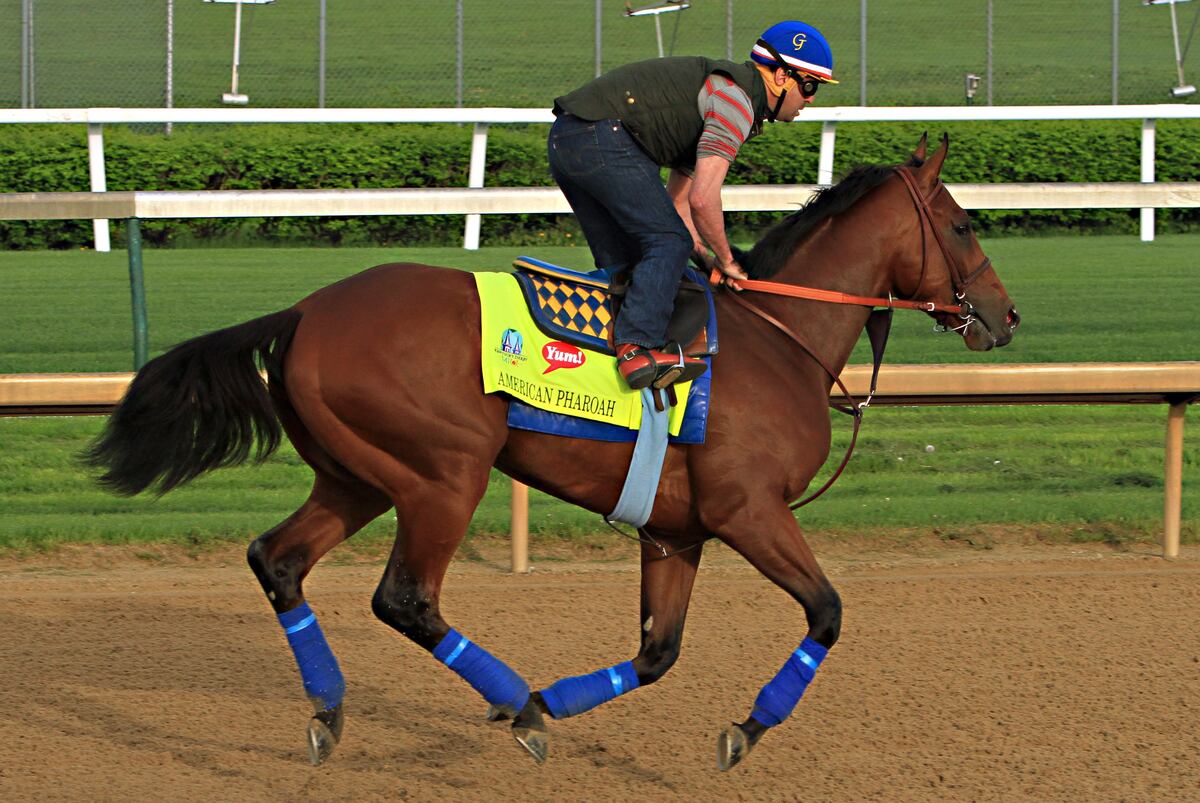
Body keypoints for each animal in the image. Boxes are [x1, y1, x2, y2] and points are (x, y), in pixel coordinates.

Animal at [85, 134, 1019, 772]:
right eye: (962, 224)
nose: (1005, 315)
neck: (778, 335)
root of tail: (306, 310)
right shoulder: (747, 510)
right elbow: (826, 611)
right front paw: (744, 728)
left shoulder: (676, 531)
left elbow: (657, 652)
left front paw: (554, 699)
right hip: (445, 473)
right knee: (405, 599)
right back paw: (509, 707)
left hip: (358, 477)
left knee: (277, 560)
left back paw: (334, 707)